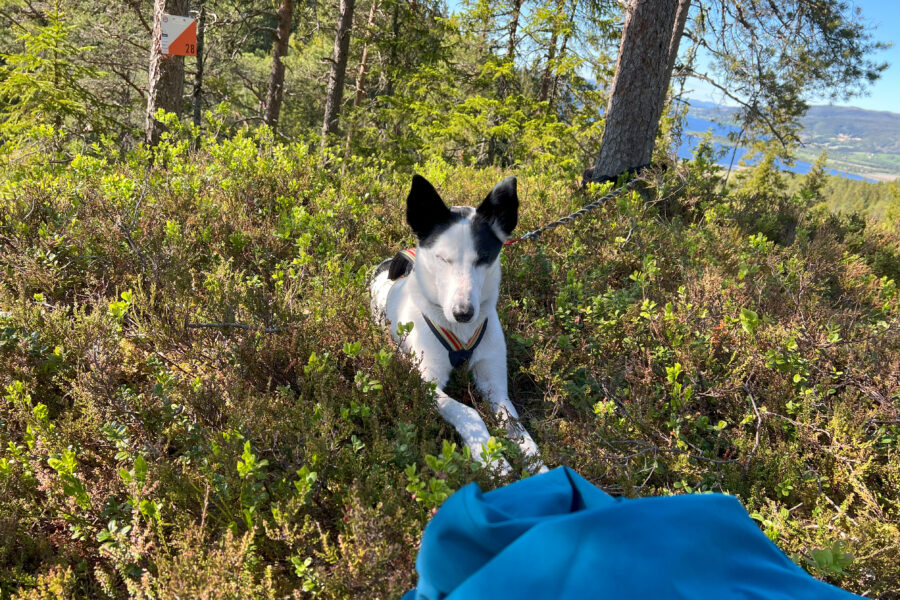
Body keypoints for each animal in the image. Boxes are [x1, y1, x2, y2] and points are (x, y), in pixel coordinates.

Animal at [370, 173, 544, 474]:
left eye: (484, 258)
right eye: (442, 258)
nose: (463, 313)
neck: (460, 333)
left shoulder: (495, 388)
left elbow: (521, 433)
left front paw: (542, 471)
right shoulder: (426, 383)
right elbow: (469, 412)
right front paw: (493, 460)